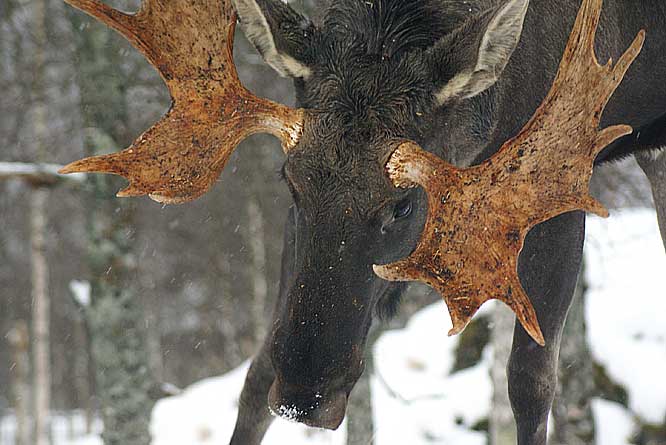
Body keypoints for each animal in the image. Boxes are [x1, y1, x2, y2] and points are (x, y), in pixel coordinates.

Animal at [61, 0, 660, 444]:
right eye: (289, 179)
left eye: (403, 203)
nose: (304, 396)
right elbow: (255, 374)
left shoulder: (559, 185)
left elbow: (531, 384)